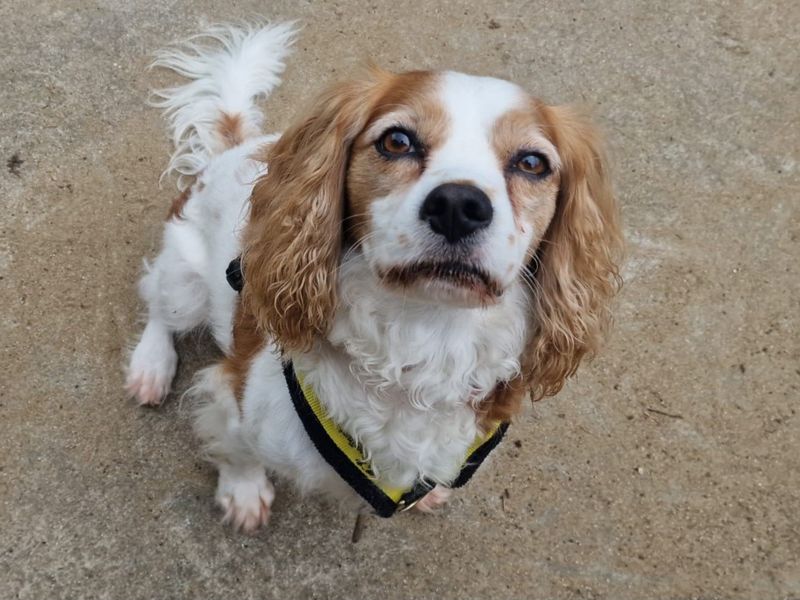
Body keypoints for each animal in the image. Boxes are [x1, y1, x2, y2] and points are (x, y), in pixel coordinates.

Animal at [126, 22, 624, 528]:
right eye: (397, 141)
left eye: (531, 163)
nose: (458, 205)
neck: (425, 333)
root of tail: (233, 151)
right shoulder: (235, 395)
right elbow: (236, 450)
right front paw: (244, 493)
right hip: (184, 283)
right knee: (158, 309)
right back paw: (150, 367)